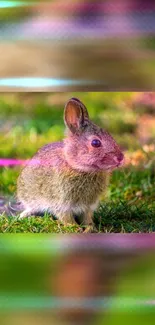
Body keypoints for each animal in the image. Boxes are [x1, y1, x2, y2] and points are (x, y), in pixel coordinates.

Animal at [16, 97, 124, 232]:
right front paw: (74, 228)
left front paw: (90, 228)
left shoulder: (87, 206)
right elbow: (65, 216)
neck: (77, 167)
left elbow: (86, 217)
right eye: (95, 143)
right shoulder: (61, 201)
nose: (121, 158)